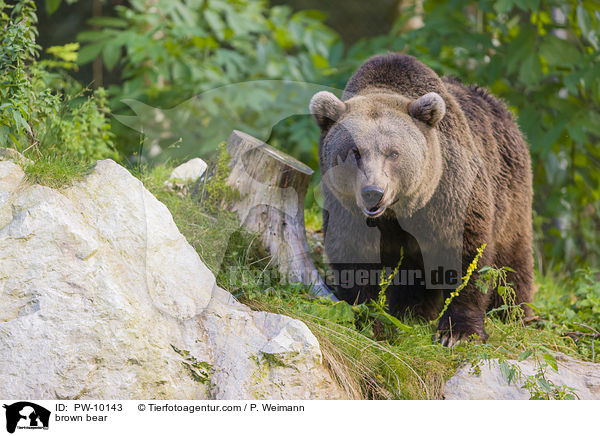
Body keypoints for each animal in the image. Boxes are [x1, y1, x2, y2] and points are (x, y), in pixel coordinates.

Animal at [312, 52, 532, 346]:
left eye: (393, 153)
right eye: (354, 152)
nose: (373, 192)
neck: (398, 213)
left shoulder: (449, 196)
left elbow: (467, 256)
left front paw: (458, 332)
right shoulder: (346, 210)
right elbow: (353, 257)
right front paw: (366, 318)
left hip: (511, 194)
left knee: (512, 262)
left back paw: (514, 313)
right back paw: (411, 313)